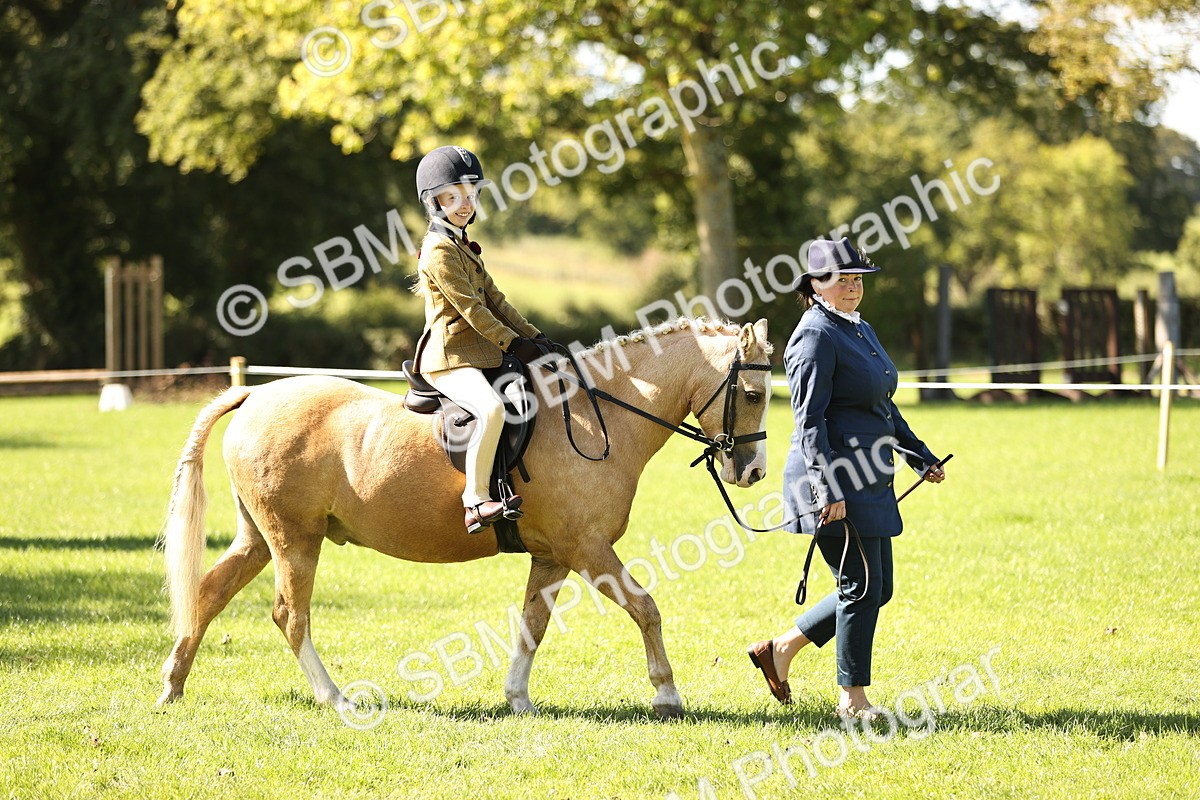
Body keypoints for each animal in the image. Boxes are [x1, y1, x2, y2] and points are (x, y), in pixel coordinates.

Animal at [158, 317, 773, 718]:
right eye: (753, 393)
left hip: (260, 539)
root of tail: (255, 396)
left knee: (208, 594)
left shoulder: (553, 556)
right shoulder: (588, 549)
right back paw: (335, 698)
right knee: (291, 616)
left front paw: (518, 699)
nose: (753, 471)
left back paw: (172, 686)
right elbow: (646, 608)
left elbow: (532, 625)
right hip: (295, 542)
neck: (597, 415)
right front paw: (667, 695)